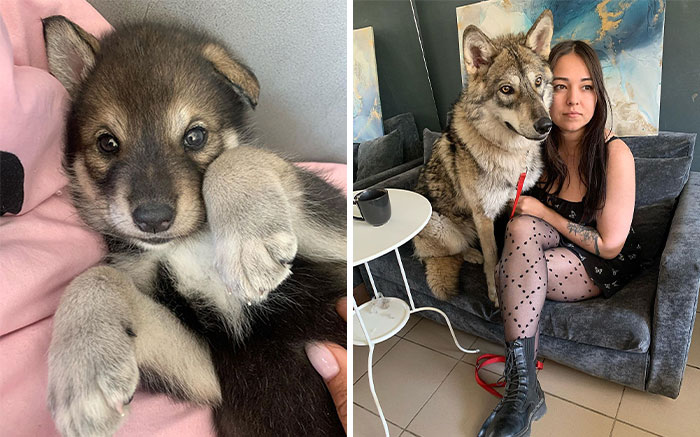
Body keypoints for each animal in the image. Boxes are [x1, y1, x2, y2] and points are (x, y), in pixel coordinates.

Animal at [43, 16, 346, 436]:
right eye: (107, 143)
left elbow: (236, 157)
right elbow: (96, 277)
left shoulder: (340, 238)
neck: (190, 241)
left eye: (195, 135)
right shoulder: (208, 368)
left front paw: (249, 245)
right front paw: (83, 372)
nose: (153, 218)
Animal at [413, 10, 554, 306]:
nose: (546, 125)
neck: (510, 154)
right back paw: (471, 254)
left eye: (537, 82)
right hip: (445, 230)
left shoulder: (513, 203)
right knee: (444, 254)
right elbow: (491, 255)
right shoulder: (484, 214)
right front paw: (495, 292)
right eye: (507, 89)